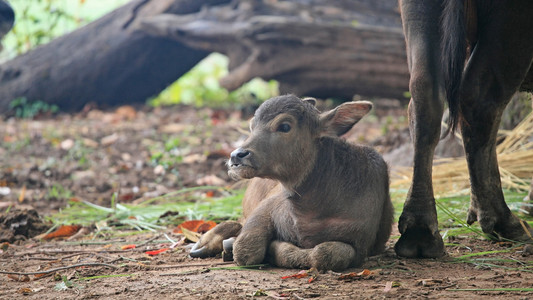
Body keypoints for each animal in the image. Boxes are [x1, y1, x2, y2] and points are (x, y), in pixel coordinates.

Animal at [396, 0, 532, 258]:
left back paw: (420, 230)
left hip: (418, 10)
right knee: (481, 100)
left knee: (424, 94)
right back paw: (504, 222)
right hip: (512, 22)